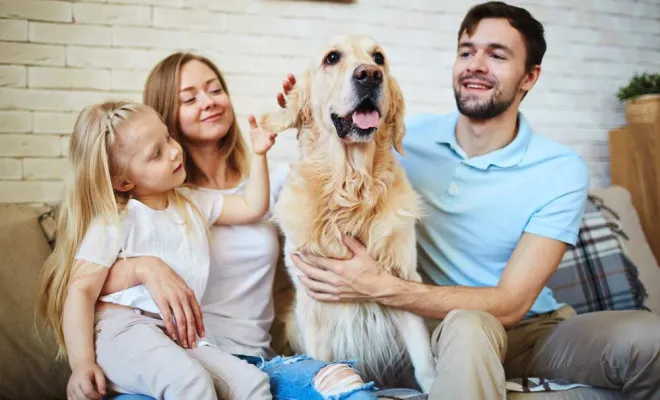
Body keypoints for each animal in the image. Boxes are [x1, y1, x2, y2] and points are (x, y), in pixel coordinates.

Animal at [260, 34, 436, 390]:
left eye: (379, 58)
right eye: (332, 57)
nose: (369, 75)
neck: (352, 187)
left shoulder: (403, 282)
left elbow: (424, 364)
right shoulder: (312, 304)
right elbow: (320, 360)